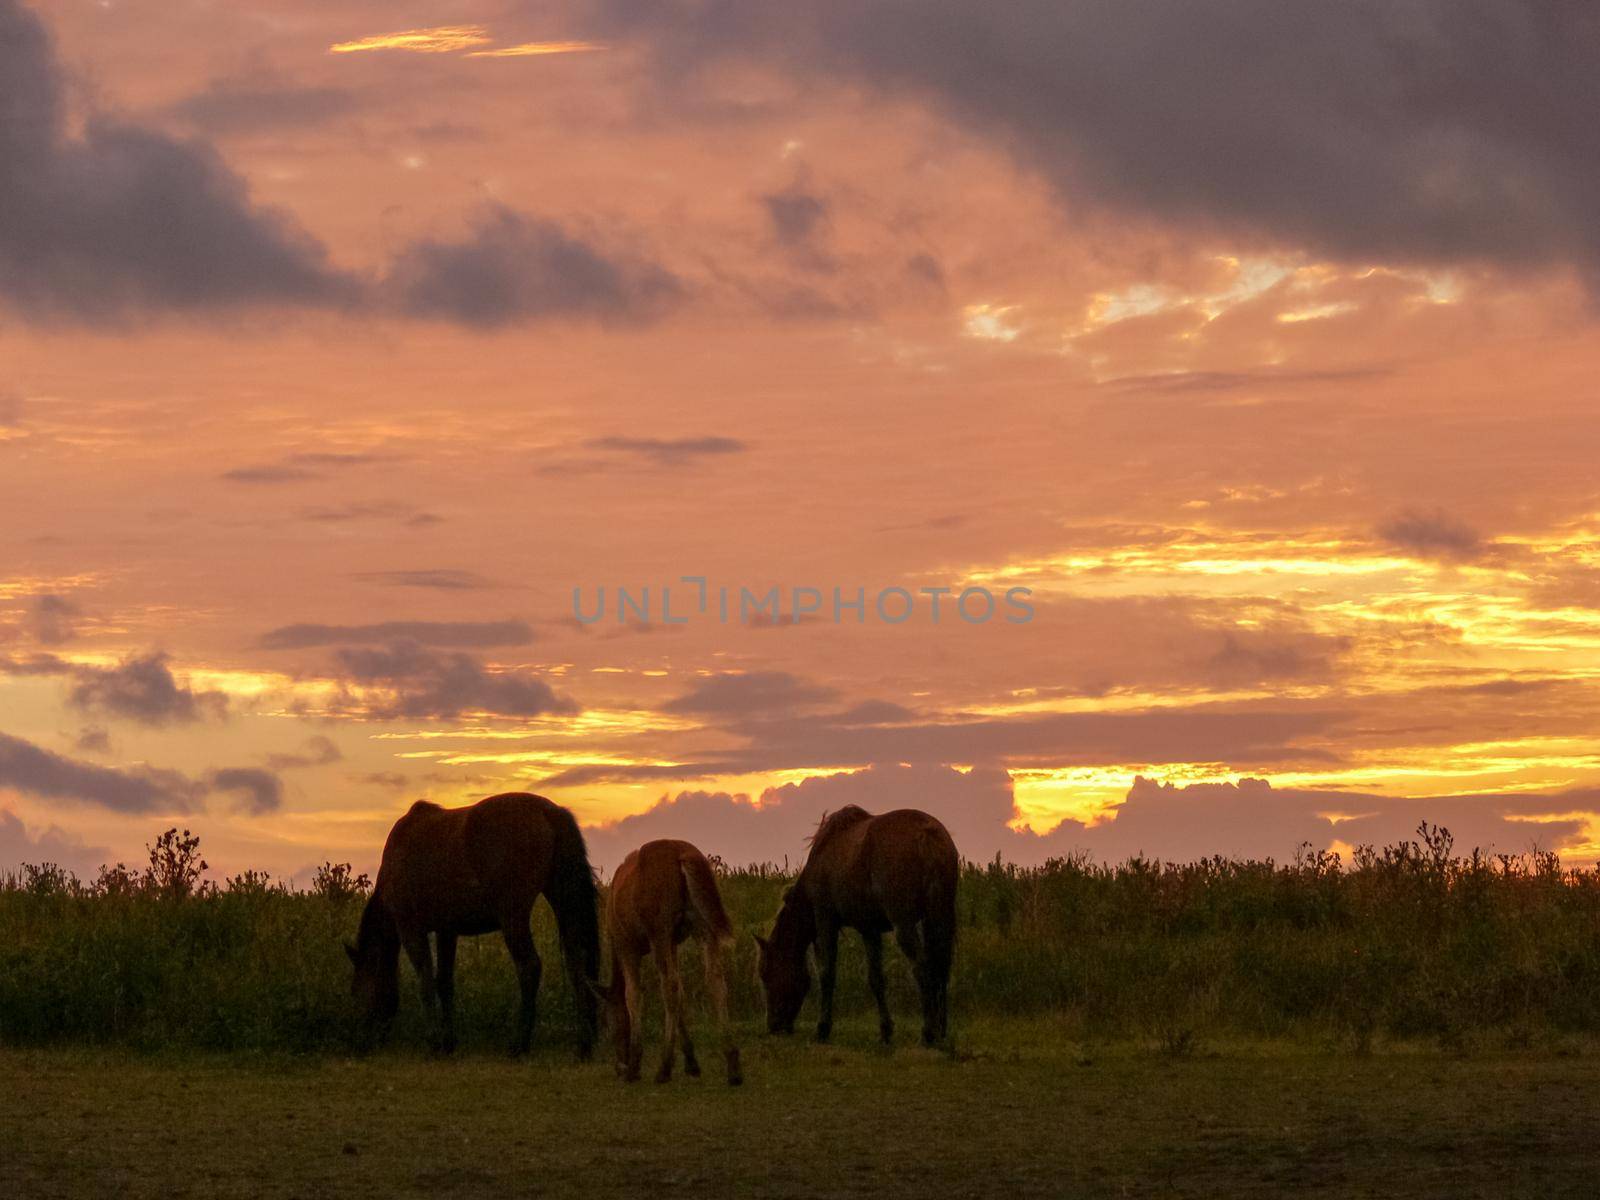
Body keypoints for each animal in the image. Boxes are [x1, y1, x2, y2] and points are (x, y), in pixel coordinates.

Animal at [345, 793, 601, 1056]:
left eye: (356, 992)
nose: (357, 1043)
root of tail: (550, 812)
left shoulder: (410, 930)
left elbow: (425, 982)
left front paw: (434, 1041)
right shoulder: (446, 931)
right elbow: (443, 982)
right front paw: (448, 1042)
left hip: (513, 917)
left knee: (529, 967)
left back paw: (519, 1044)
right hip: (563, 901)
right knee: (577, 963)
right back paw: (584, 1044)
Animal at [598, 838, 739, 1088]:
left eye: (608, 1022)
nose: (618, 1065)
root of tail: (684, 856)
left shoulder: (628, 945)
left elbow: (633, 995)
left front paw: (634, 1065)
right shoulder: (673, 942)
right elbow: (682, 991)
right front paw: (691, 1062)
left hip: (659, 929)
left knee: (669, 987)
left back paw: (663, 1068)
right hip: (703, 925)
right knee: (716, 980)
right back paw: (732, 1065)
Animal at [755, 809, 953, 1049]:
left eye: (766, 974)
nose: (773, 1026)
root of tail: (927, 834)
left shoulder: (825, 920)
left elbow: (827, 973)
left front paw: (822, 1029)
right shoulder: (869, 929)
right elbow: (876, 979)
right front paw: (885, 1031)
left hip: (904, 924)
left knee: (922, 968)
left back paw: (927, 1033)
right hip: (938, 918)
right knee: (939, 969)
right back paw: (941, 1031)